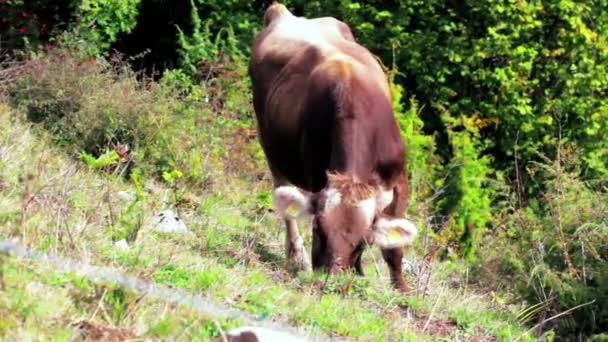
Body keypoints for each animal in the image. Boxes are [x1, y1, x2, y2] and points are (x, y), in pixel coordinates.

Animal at [249, 2, 416, 292]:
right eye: (318, 229)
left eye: (363, 242)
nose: (333, 279)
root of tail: (284, 14)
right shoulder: (315, 172)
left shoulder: (398, 180)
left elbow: (394, 247)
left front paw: (401, 289)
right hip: (269, 143)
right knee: (284, 200)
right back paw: (296, 256)